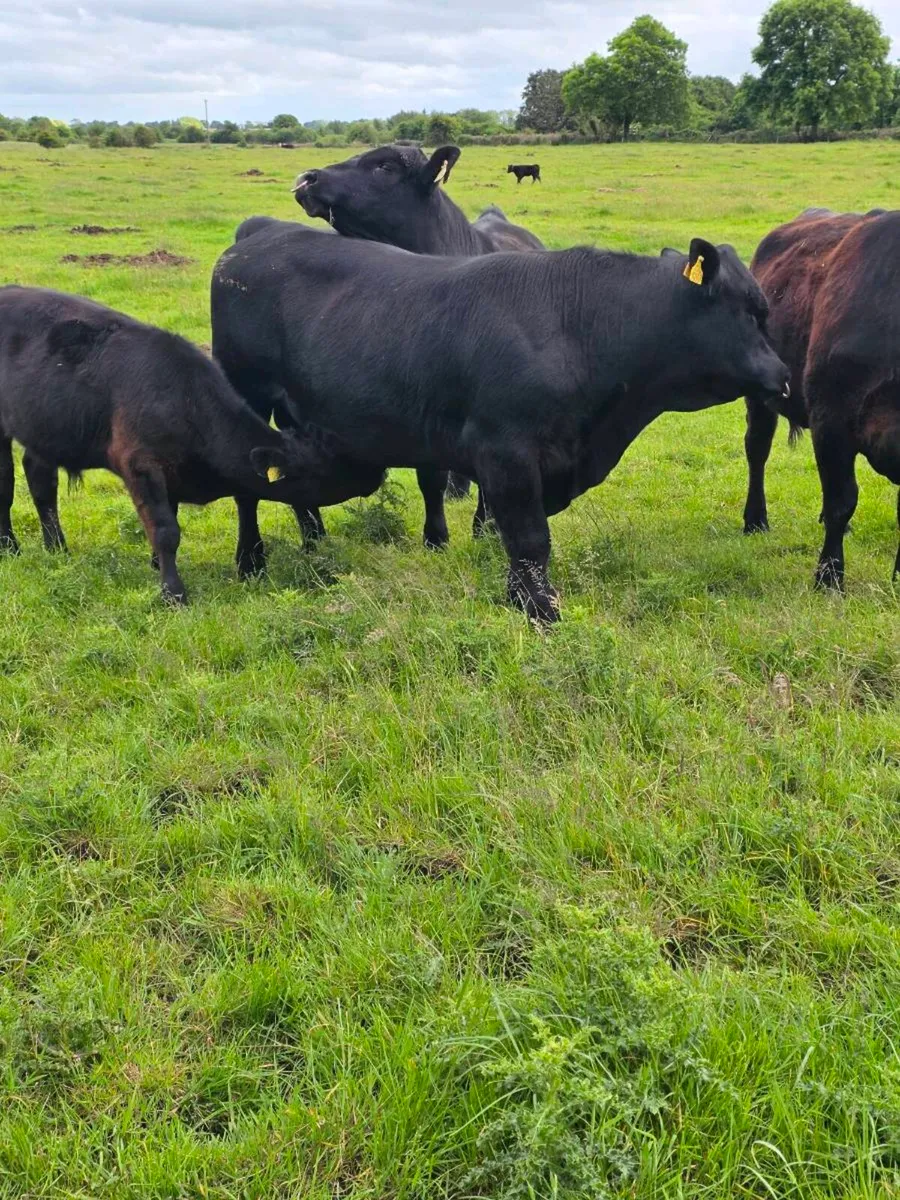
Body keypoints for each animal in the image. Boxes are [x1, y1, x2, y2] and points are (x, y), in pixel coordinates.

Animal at [0, 286, 381, 603]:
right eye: (326, 467)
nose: (376, 473)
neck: (186, 402)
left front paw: (156, 565)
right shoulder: (141, 465)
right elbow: (166, 530)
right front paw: (173, 593)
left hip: (43, 426)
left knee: (40, 480)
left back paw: (57, 549)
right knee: (7, 484)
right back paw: (10, 548)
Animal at [211, 223, 789, 622]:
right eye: (751, 312)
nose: (784, 376)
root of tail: (255, 239)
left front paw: (520, 599)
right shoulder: (506, 453)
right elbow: (530, 539)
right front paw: (541, 611)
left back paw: (316, 545)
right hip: (244, 389)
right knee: (245, 487)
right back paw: (251, 561)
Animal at [743, 207, 899, 588]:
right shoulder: (832, 420)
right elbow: (841, 501)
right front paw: (828, 577)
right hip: (761, 397)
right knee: (757, 450)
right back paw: (755, 520)